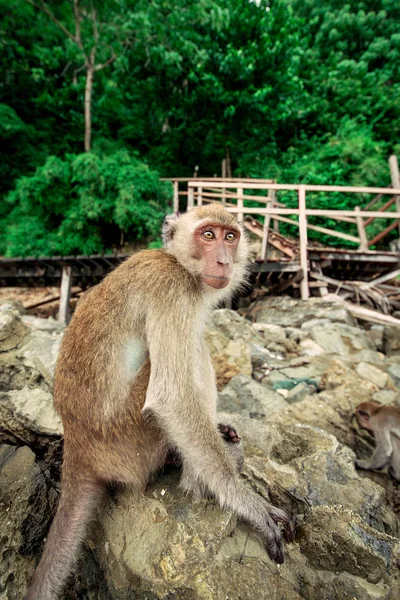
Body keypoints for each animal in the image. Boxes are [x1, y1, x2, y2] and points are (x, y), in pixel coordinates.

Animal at [24, 204, 294, 596]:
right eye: (208, 235)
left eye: (230, 236)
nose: (224, 259)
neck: (177, 262)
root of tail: (79, 449)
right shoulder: (173, 290)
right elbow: (171, 396)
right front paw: (245, 502)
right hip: (128, 441)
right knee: (191, 349)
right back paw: (196, 475)